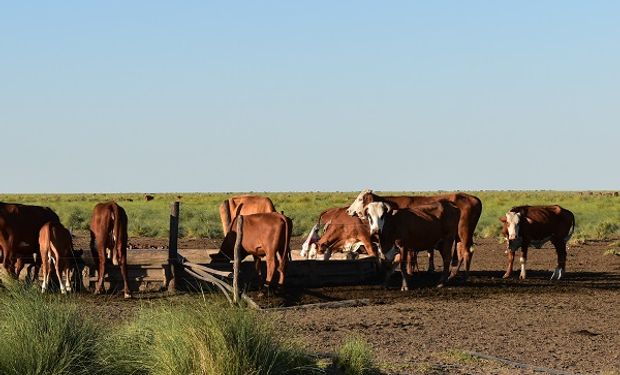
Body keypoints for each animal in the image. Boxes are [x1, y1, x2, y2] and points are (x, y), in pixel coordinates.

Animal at [346, 189, 482, 280]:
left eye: (360, 199)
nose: (348, 210)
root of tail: (474, 198)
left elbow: (410, 256)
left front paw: (410, 272)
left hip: (463, 232)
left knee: (466, 252)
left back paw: (460, 276)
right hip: (459, 236)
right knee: (461, 252)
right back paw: (455, 274)